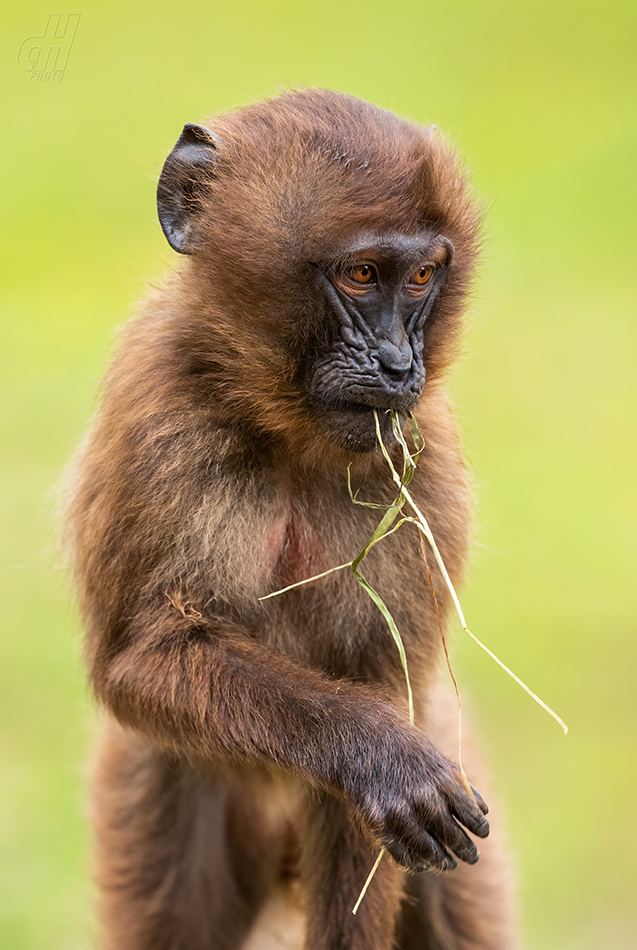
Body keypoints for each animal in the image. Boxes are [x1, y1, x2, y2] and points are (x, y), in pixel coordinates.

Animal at [64, 91, 516, 950]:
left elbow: (385, 680)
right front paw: (375, 754)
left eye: (420, 278)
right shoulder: (157, 414)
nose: (398, 366)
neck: (287, 434)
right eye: (361, 275)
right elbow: (143, 661)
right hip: (169, 786)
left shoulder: (421, 457)